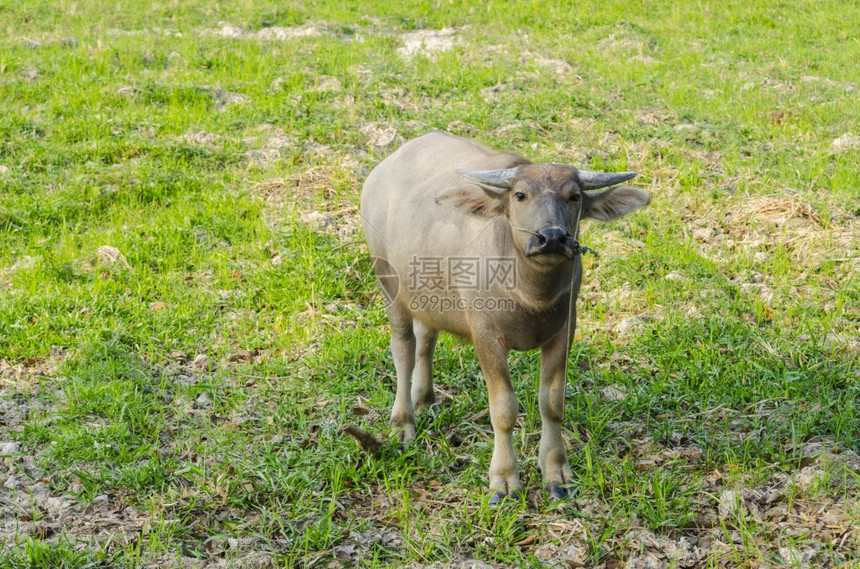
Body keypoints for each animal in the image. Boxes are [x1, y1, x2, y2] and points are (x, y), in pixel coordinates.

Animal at [360, 130, 648, 502]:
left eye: (573, 196)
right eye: (521, 194)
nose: (551, 238)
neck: (530, 296)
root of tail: (381, 171)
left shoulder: (563, 332)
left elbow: (552, 403)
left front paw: (555, 472)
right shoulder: (486, 337)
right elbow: (504, 410)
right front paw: (504, 479)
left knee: (426, 340)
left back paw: (425, 401)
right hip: (388, 284)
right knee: (403, 349)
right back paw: (403, 422)